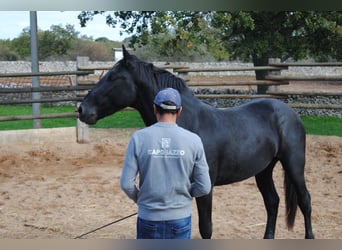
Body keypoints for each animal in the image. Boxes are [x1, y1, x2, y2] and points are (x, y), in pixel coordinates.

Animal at [79, 46, 314, 239]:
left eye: (113, 77)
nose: (82, 109)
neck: (188, 123)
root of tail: (289, 112)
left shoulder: (205, 187)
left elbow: (206, 228)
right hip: (264, 169)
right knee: (272, 202)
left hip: (294, 164)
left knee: (305, 201)